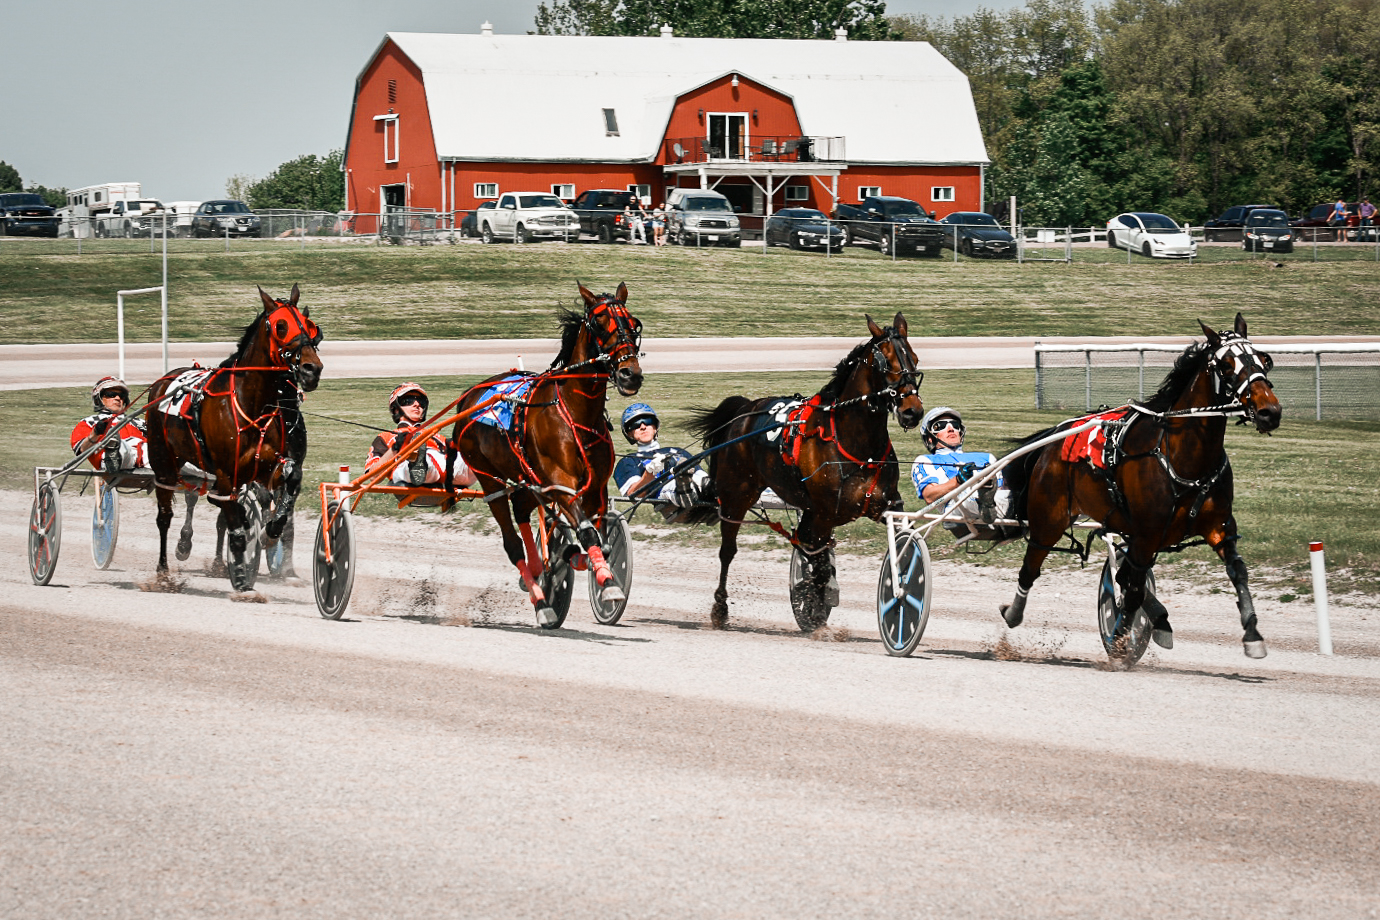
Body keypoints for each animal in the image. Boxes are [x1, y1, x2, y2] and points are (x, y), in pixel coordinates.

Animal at [144, 284, 322, 593]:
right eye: (281, 325)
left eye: (308, 325)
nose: (312, 369)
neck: (253, 403)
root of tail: (163, 382)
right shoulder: (227, 474)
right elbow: (236, 528)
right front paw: (240, 578)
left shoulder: (267, 467)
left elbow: (287, 488)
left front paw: (270, 534)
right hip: (164, 464)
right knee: (165, 516)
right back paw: (165, 572)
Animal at [455, 281, 643, 626]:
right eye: (599, 323)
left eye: (633, 324)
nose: (629, 374)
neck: (576, 413)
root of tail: (470, 396)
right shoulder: (561, 482)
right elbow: (587, 534)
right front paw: (606, 582)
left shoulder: (594, 488)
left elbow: (602, 542)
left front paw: (570, 559)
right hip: (491, 479)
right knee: (512, 541)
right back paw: (541, 599)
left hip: (528, 479)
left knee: (521, 508)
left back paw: (540, 570)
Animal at [684, 317, 921, 634]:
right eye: (888, 363)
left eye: (915, 359)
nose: (912, 412)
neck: (854, 442)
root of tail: (745, 409)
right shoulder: (824, 513)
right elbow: (817, 564)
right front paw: (816, 609)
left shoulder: (885, 505)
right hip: (737, 496)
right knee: (728, 551)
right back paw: (720, 609)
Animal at [1004, 313, 1280, 659]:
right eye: (1227, 365)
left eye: (1265, 360)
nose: (1270, 411)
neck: (1182, 457)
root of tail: (1053, 441)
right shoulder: (1148, 533)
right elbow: (1132, 590)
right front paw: (1121, 640)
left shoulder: (1217, 526)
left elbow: (1238, 570)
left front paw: (1253, 634)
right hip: (1048, 518)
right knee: (1031, 566)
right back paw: (1012, 612)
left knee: (1124, 572)